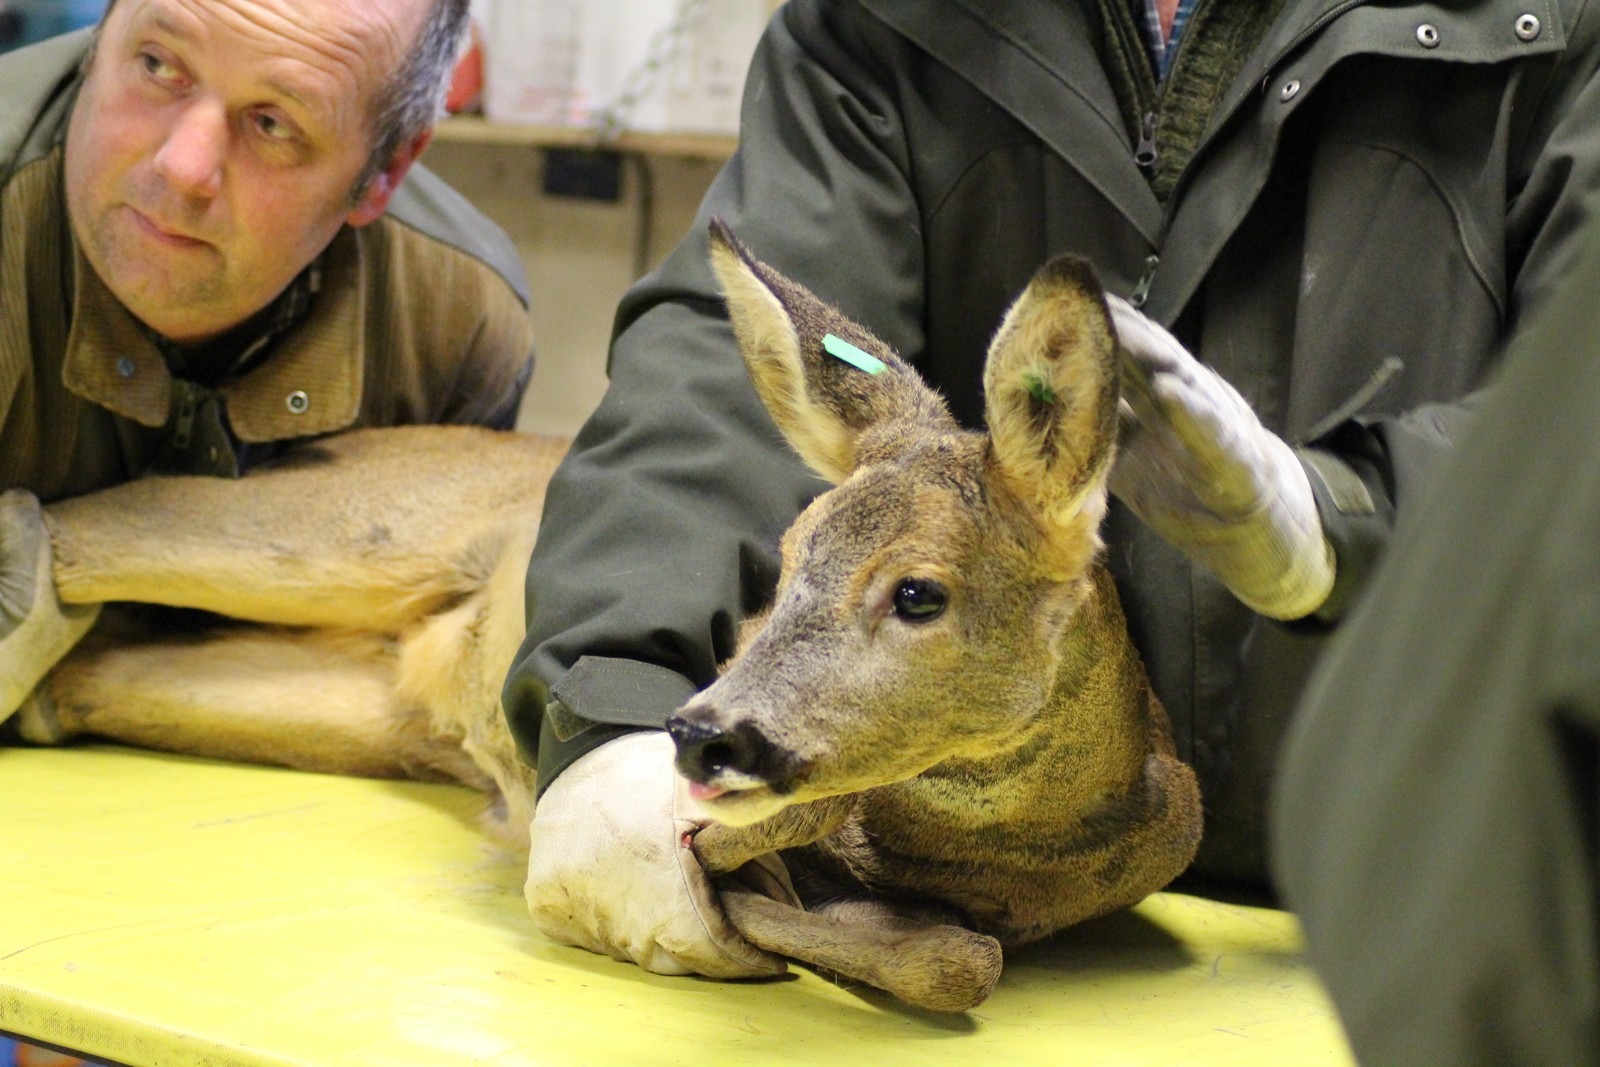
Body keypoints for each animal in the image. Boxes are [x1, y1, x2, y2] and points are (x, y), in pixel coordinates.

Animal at [9, 223, 1190, 1017]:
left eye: (917, 592)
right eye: (783, 559)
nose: (701, 730)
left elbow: (958, 955)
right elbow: (920, 943)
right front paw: (750, 912)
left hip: (326, 703)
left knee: (95, 662)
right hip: (330, 531)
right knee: (78, 529)